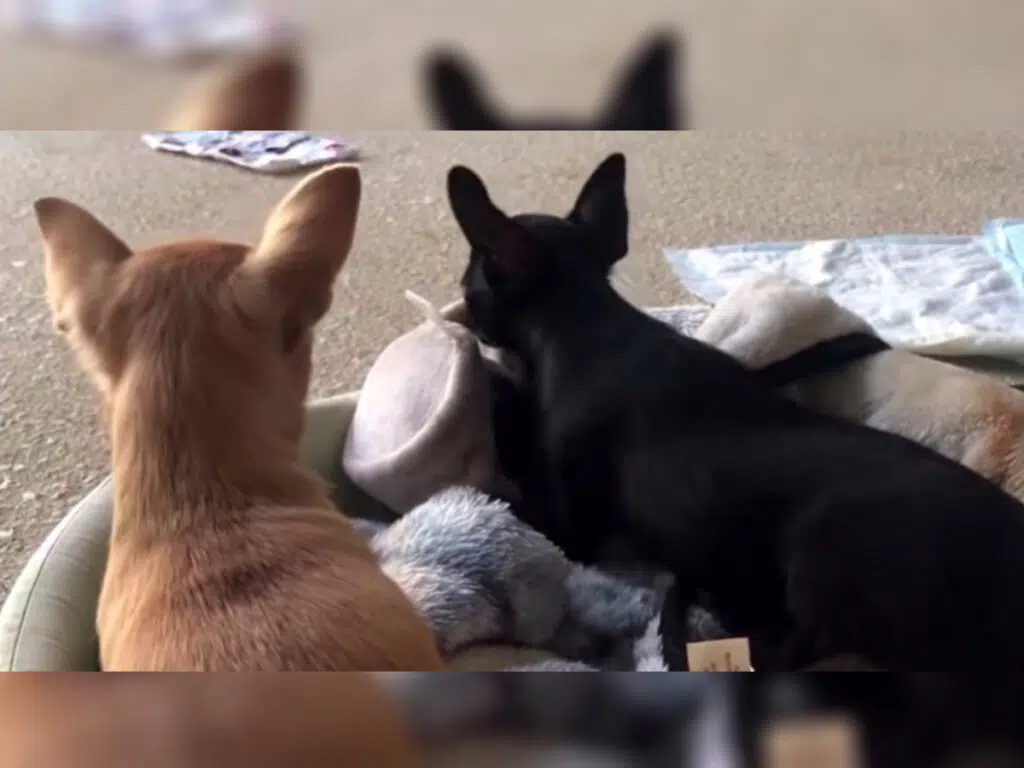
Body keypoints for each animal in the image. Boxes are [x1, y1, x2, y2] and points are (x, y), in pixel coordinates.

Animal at [448, 151, 1024, 671]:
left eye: (470, 285)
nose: (464, 310)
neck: (585, 322)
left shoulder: (571, 525)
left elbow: (511, 493)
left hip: (820, 554)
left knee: (791, 650)